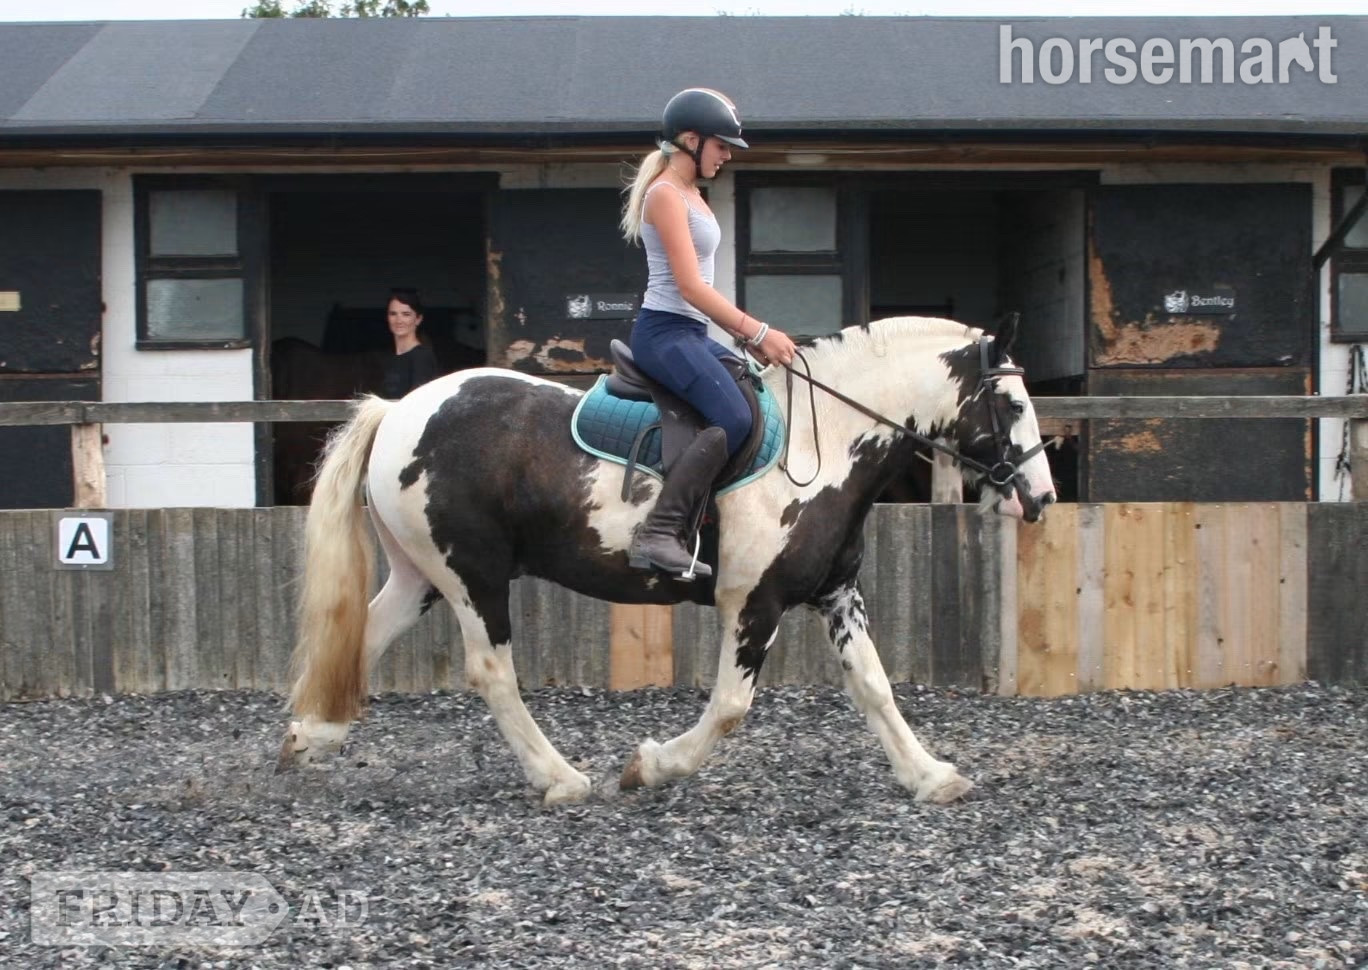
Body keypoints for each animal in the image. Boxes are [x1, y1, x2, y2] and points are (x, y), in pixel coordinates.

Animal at [276, 315, 1057, 805]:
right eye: (1014, 404)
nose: (1042, 498)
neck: (827, 439)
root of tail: (398, 409)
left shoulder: (837, 593)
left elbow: (874, 685)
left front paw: (930, 776)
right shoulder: (754, 603)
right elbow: (732, 707)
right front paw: (650, 767)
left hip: (423, 577)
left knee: (364, 635)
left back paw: (310, 737)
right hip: (474, 577)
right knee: (492, 672)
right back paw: (561, 779)